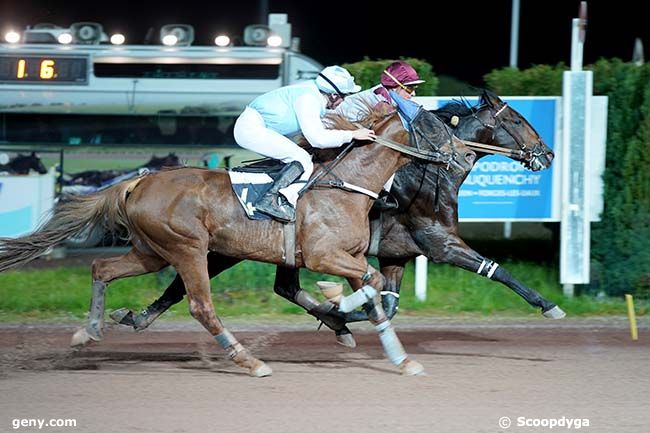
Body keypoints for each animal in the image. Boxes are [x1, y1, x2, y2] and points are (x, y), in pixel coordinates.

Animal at [0, 109, 476, 376]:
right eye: (436, 128)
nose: (465, 155)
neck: (347, 186)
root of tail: (136, 182)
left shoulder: (351, 256)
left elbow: (374, 295)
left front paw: (395, 354)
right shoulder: (324, 255)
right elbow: (370, 285)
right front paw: (337, 304)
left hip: (151, 251)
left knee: (102, 268)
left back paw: (91, 330)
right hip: (187, 248)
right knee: (200, 305)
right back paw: (249, 360)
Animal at [114, 89, 560, 346]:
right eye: (517, 119)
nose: (549, 153)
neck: (423, 174)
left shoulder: (395, 255)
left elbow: (388, 303)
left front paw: (343, 315)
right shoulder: (440, 242)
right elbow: (497, 270)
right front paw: (548, 304)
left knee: (283, 287)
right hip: (228, 248)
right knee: (186, 283)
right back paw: (139, 316)